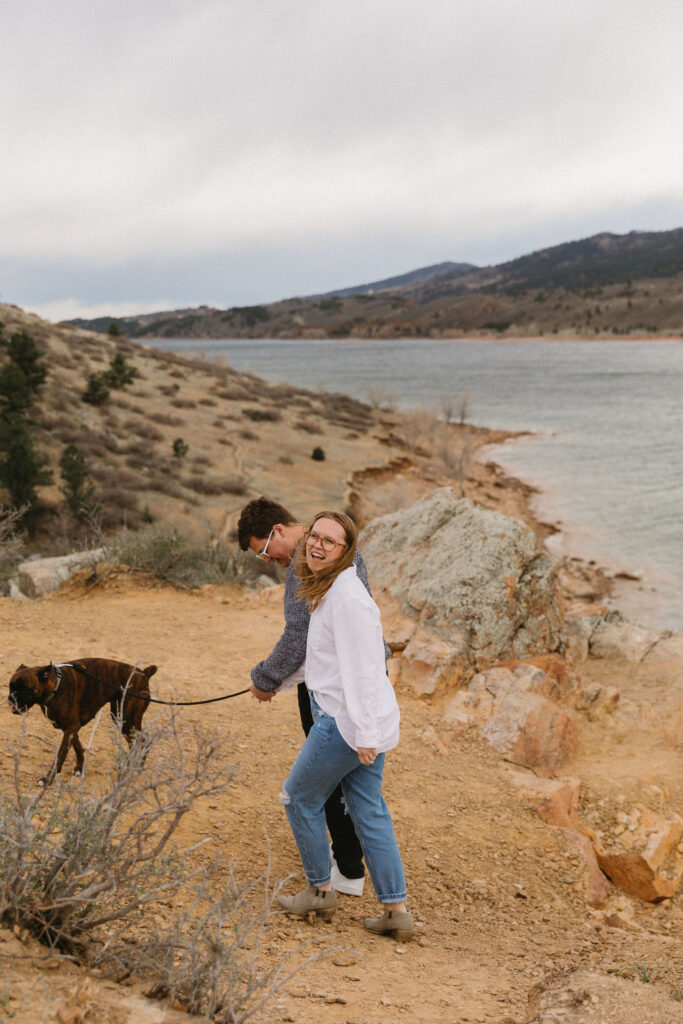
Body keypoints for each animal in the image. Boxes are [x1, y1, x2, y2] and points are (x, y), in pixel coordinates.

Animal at [7, 659, 156, 786]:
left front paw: (47, 779)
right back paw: (131, 766)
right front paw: (80, 768)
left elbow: (61, 754)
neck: (56, 686)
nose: (10, 698)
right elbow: (78, 746)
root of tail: (144, 674)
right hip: (121, 718)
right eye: (11, 686)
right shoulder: (71, 728)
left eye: (25, 689)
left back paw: (135, 769)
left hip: (125, 719)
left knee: (143, 740)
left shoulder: (71, 727)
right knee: (137, 741)